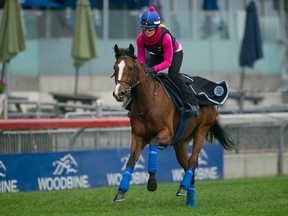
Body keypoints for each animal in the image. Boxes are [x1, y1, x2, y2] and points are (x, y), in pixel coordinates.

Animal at [111, 43, 234, 206]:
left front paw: (152, 183)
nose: (119, 93)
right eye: (115, 68)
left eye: (130, 68)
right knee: (187, 164)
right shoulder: (138, 136)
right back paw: (189, 196)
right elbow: (131, 160)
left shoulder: (167, 134)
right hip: (180, 142)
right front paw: (120, 191)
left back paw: (183, 187)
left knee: (193, 161)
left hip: (201, 130)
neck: (148, 101)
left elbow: (153, 143)